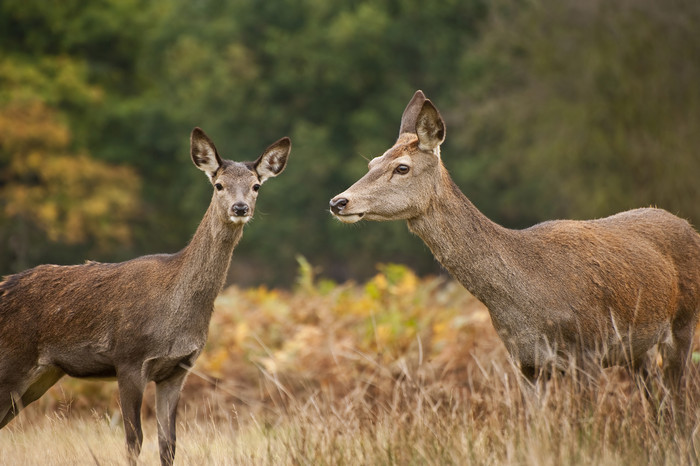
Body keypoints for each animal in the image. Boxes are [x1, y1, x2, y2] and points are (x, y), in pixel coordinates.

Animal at [0, 125, 290, 464]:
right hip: (12, 361)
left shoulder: (177, 370)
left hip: (42, 376)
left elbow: (169, 442)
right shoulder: (128, 359)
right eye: (219, 184)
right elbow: (133, 440)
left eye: (256, 185)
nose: (240, 208)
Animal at [330, 89, 700, 392]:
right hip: (637, 351)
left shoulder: (589, 352)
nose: (339, 201)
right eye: (372, 162)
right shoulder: (526, 364)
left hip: (683, 322)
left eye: (402, 168)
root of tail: (689, 227)